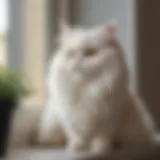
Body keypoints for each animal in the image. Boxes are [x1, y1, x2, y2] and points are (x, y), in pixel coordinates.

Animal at [38, 21, 159, 159]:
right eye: (71, 54)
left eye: (91, 53)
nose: (76, 63)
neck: (86, 88)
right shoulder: (70, 117)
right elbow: (77, 135)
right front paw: (77, 148)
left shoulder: (109, 117)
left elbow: (101, 137)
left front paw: (100, 150)